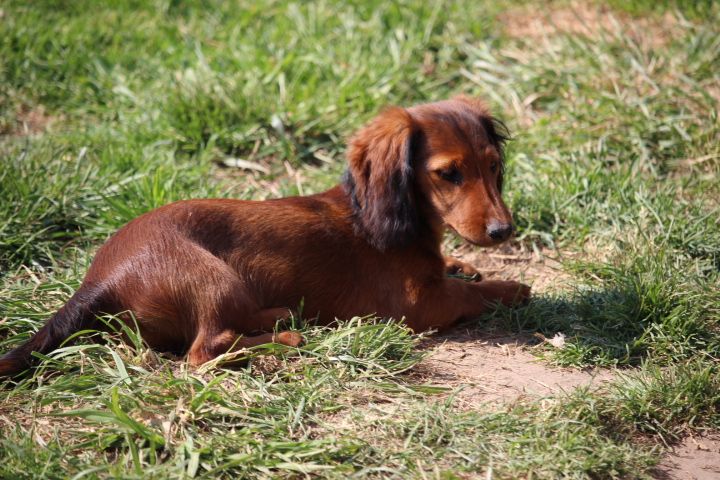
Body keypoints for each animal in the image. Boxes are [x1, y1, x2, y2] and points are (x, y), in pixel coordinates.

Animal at [0, 95, 528, 376]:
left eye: (493, 166)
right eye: (448, 173)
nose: (504, 231)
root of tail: (98, 281)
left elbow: (458, 272)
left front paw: (464, 263)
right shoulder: (420, 305)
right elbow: (474, 293)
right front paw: (514, 286)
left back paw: (275, 315)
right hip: (212, 277)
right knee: (203, 352)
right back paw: (286, 334)